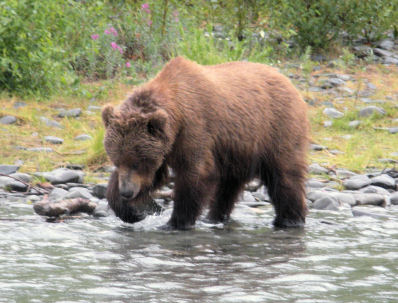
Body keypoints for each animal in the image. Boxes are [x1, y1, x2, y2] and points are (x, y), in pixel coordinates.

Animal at [101, 56, 310, 230]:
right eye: (116, 161)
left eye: (137, 162)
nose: (127, 192)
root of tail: (289, 82)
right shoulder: (165, 147)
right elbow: (154, 176)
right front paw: (130, 212)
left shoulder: (195, 129)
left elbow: (195, 174)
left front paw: (174, 222)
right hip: (239, 149)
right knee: (228, 186)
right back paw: (214, 217)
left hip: (276, 129)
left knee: (284, 176)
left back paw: (289, 219)